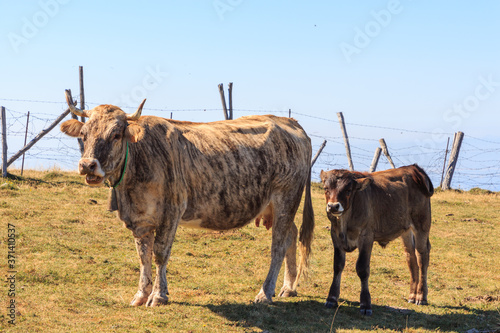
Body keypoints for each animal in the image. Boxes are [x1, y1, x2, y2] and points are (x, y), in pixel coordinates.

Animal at [60, 89, 314, 306]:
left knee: (278, 245)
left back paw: (265, 292)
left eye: (115, 134)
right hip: (276, 206)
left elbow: (160, 253)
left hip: (286, 197)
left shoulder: (172, 210)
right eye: (83, 134)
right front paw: (141, 295)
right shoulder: (140, 219)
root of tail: (288, 122)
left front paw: (158, 295)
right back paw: (288, 287)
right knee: (291, 235)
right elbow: (143, 256)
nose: (88, 165)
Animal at [320, 165, 434, 316]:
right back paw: (412, 295)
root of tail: (414, 168)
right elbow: (337, 266)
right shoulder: (335, 236)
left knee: (422, 258)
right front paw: (332, 298)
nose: (333, 206)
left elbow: (362, 268)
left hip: (422, 225)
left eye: (348, 190)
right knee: (411, 258)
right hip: (406, 231)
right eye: (326, 188)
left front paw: (365, 304)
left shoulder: (366, 237)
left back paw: (421, 296)